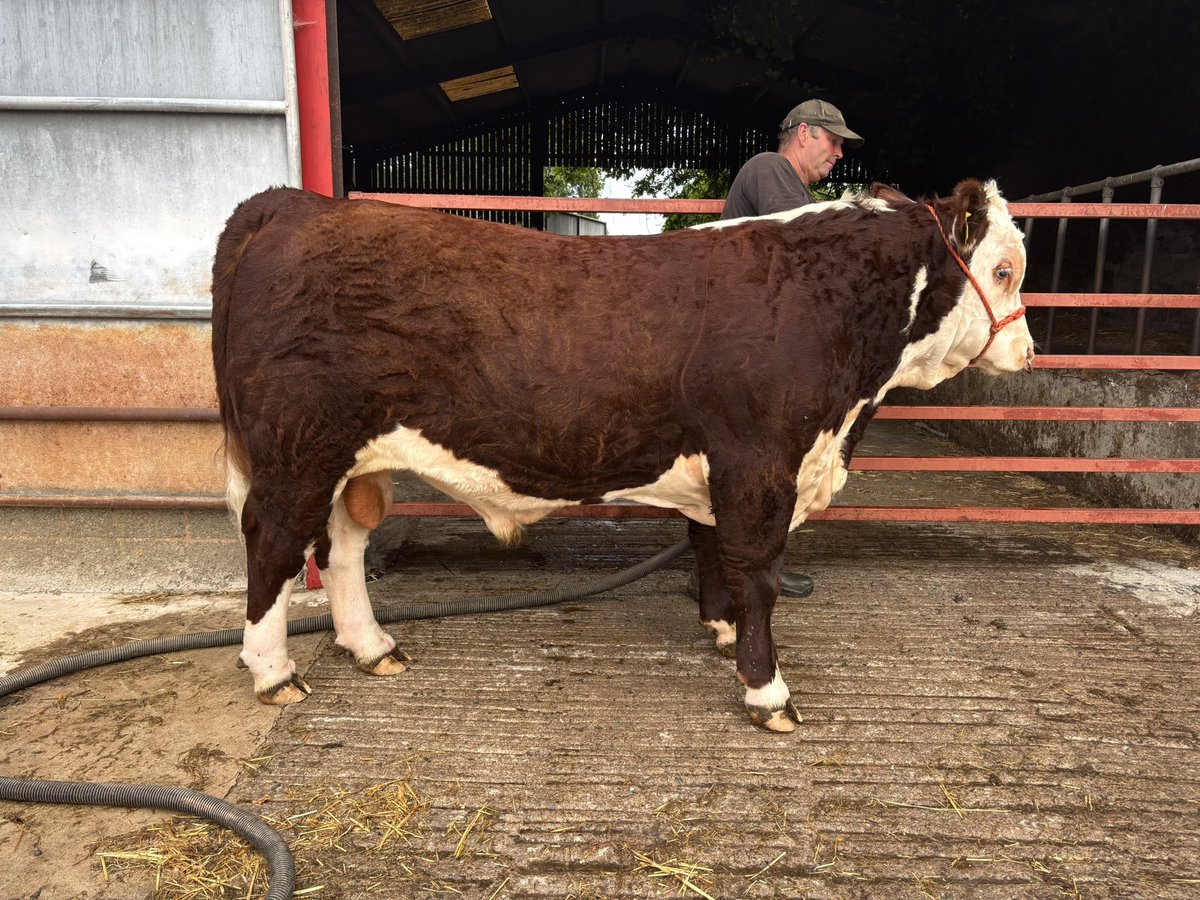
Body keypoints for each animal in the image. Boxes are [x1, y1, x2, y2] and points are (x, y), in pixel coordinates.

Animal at [211, 179, 1034, 732]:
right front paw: (767, 690)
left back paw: (372, 646)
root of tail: (296, 203)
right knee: (274, 545)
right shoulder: (760, 463)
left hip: (351, 459)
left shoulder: (722, 467)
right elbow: (759, 572)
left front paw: (721, 629)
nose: (1027, 351)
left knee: (344, 545)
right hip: (296, 453)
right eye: (1003, 270)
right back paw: (273, 672)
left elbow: (709, 547)